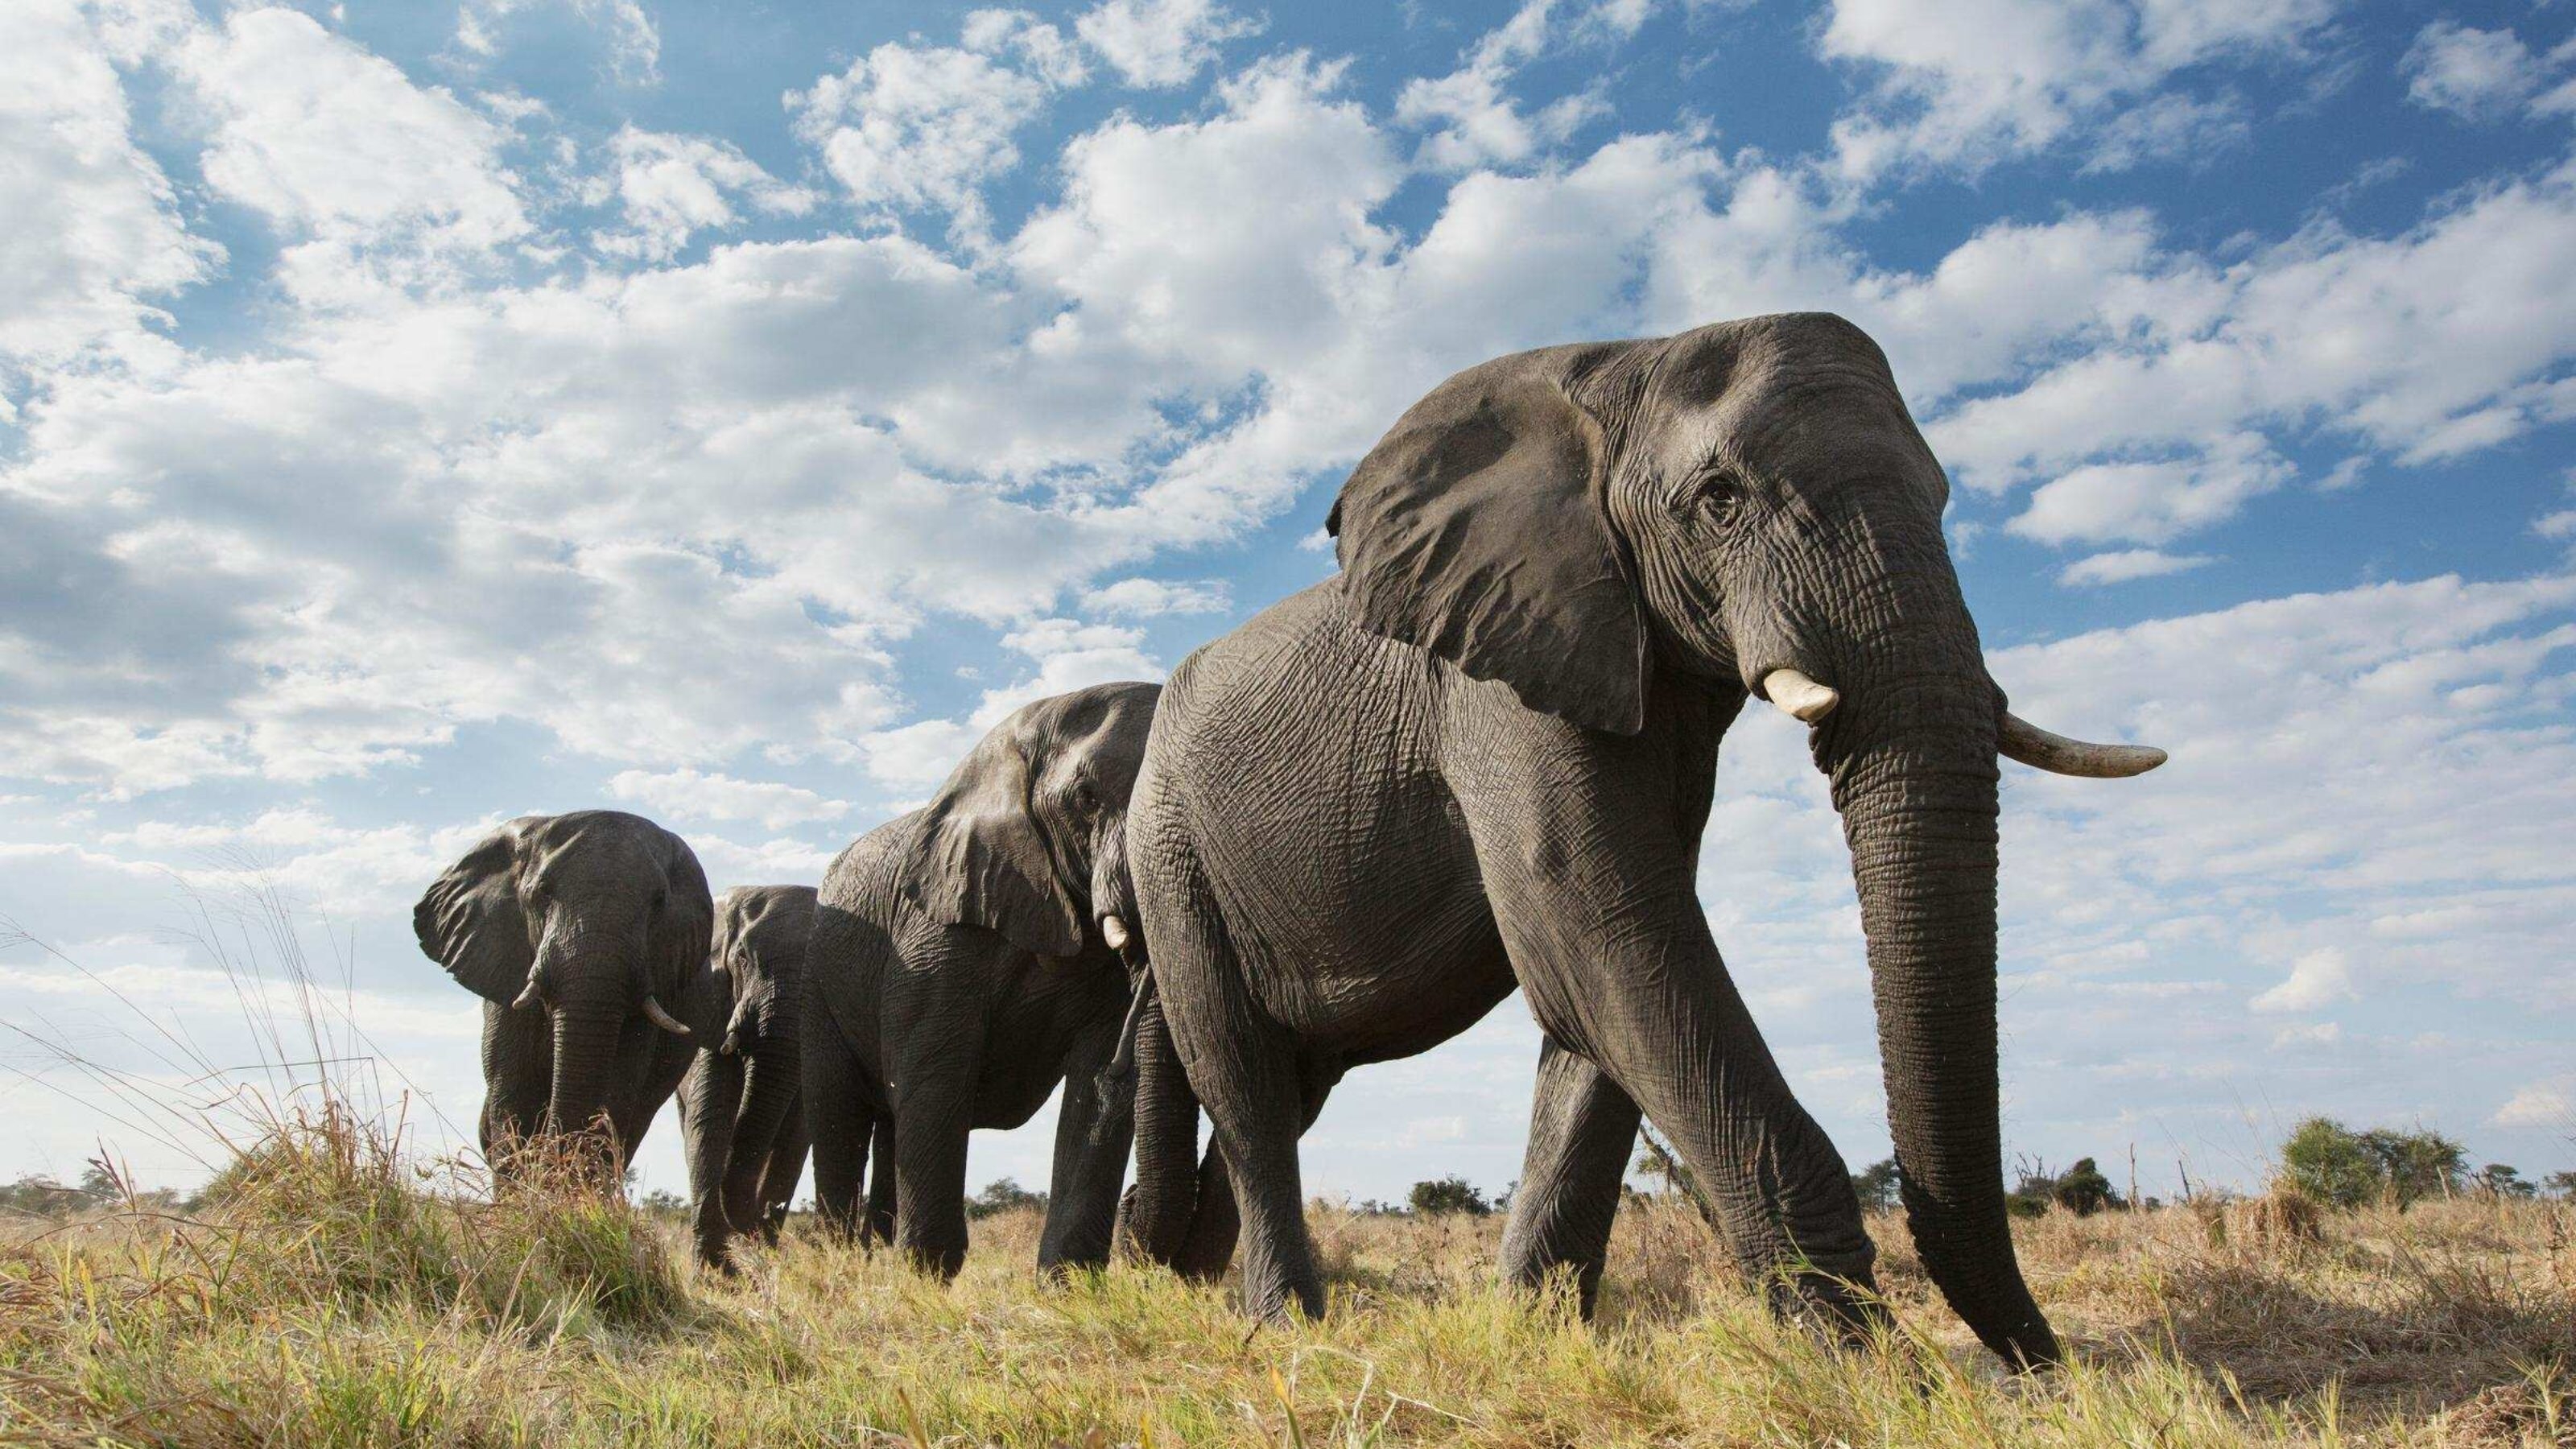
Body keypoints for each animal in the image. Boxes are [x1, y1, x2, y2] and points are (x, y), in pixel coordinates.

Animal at [672, 884, 817, 1267]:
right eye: (742, 959)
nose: (763, 1216)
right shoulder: (719, 1003)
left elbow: (794, 1137)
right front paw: (718, 1271)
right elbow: (711, 1117)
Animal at [802, 680, 1223, 1277]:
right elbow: (935, 1075)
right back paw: (843, 1262)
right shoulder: (938, 932)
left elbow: (1095, 1094)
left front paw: (1067, 1283)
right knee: (839, 1114)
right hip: (818, 981)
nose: (1132, 1200)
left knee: (887, 1125)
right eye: (1086, 799)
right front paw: (927, 1277)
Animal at [1123, 313, 2164, 1367]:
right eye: (1719, 499)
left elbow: (1603, 988)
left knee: (1294, 1081)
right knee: (1244, 1082)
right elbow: (1601, 929)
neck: (1622, 367)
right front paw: (1868, 1370)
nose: (2038, 1367)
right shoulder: (1498, 678)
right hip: (1170, 852)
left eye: (1945, 497)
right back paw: (1282, 1332)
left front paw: (1535, 1344)